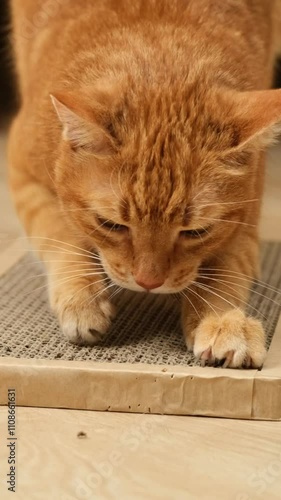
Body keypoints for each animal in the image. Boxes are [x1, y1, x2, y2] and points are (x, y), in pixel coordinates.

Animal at [7, 0, 280, 368]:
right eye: (110, 224)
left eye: (196, 232)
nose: (148, 282)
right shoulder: (23, 174)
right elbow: (60, 234)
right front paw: (82, 297)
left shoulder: (243, 220)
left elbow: (228, 268)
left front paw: (224, 320)